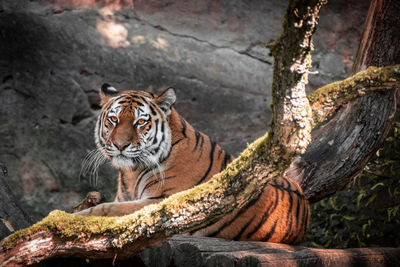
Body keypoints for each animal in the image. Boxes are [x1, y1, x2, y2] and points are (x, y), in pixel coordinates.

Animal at [76, 84, 310, 245]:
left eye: (140, 122)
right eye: (113, 120)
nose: (120, 145)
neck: (131, 172)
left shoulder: (161, 203)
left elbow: (105, 211)